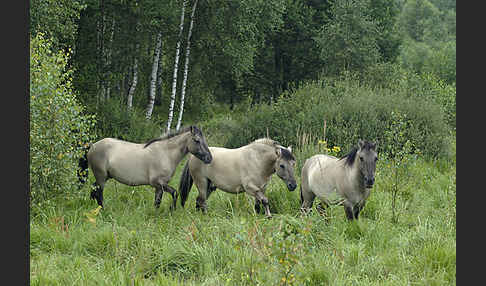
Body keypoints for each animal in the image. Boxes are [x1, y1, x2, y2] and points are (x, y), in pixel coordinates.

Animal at [79, 125, 212, 210]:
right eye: (197, 140)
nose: (209, 158)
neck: (165, 153)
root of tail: (92, 145)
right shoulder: (157, 183)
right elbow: (175, 193)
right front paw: (172, 210)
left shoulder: (159, 187)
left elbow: (157, 202)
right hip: (101, 177)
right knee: (99, 193)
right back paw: (102, 209)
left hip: (105, 176)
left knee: (93, 189)